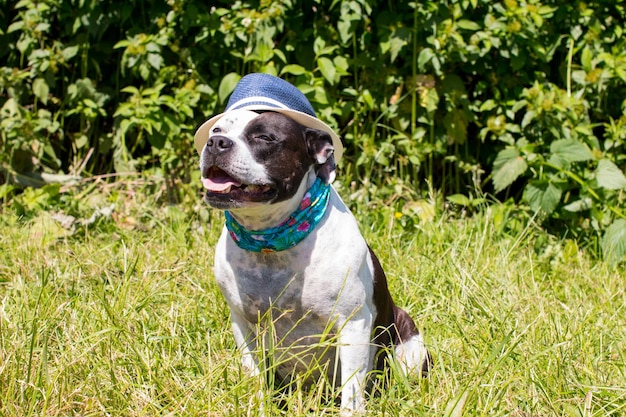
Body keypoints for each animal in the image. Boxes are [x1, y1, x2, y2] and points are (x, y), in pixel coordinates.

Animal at [195, 73, 428, 414]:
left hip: (409, 345)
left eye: (265, 137)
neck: (270, 241)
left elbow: (352, 391)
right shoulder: (244, 325)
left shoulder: (353, 325)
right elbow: (254, 377)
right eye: (217, 131)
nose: (216, 143)